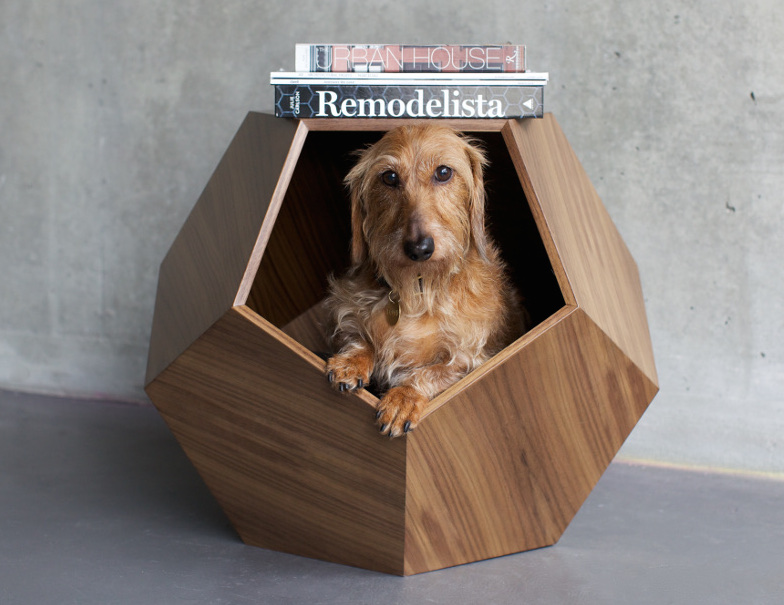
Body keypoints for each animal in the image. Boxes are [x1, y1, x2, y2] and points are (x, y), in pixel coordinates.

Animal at [324, 124, 525, 437]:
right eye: (389, 177)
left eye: (443, 172)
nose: (419, 248)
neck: (418, 286)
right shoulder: (345, 312)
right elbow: (359, 336)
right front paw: (352, 361)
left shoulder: (470, 358)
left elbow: (430, 372)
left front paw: (404, 398)